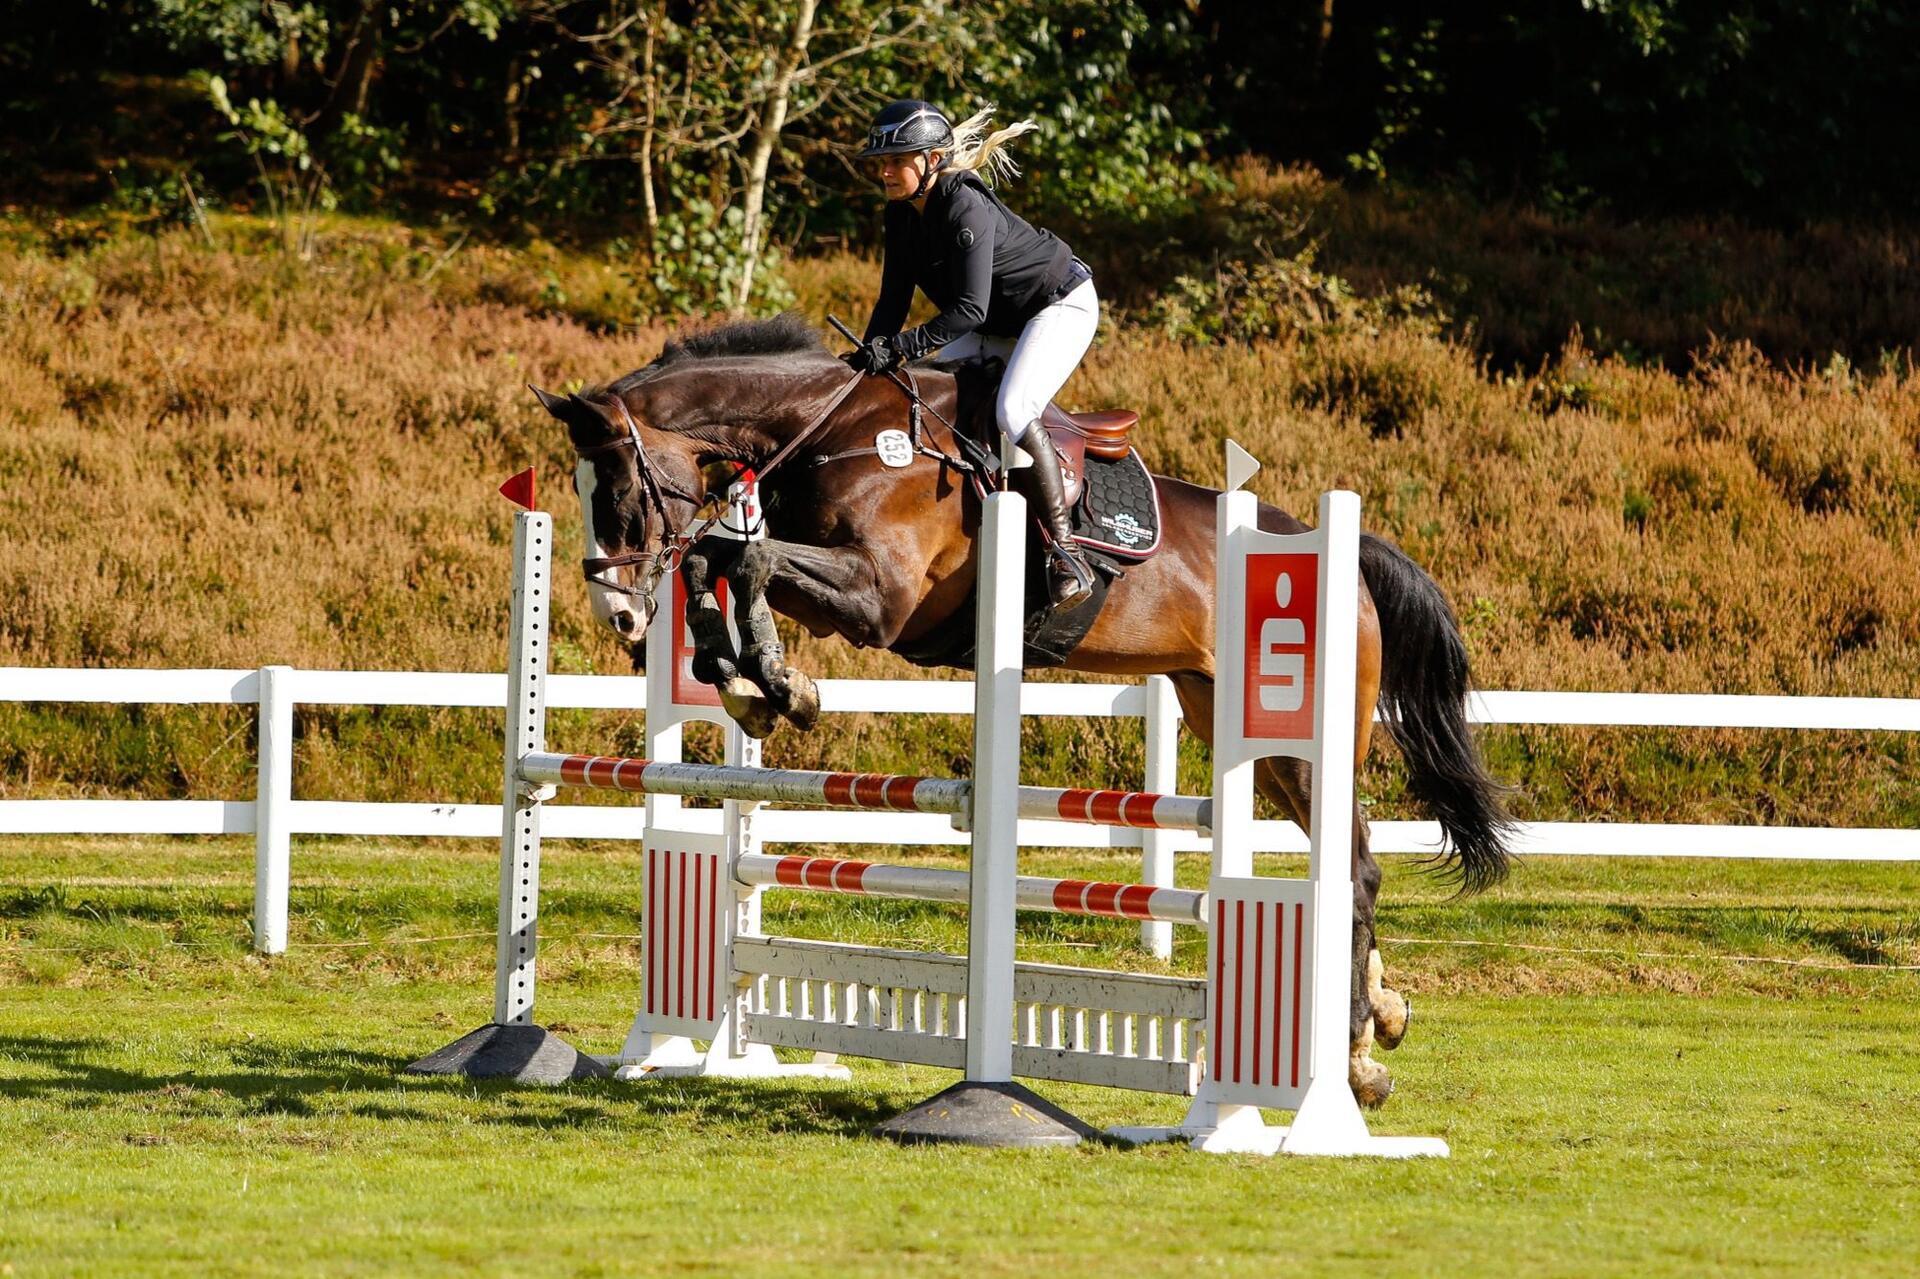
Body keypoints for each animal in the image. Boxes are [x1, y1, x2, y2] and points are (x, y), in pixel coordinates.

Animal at [529, 311, 1512, 1106]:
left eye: (618, 492)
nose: (619, 618)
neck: (829, 429)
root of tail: (1341, 554)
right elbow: (719, 559)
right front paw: (740, 680)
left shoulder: (881, 599)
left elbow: (751, 558)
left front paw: (776, 683)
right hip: (1232, 724)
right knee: (1351, 863)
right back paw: (1379, 1030)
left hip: (1305, 738)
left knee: (1356, 871)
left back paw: (1348, 1055)